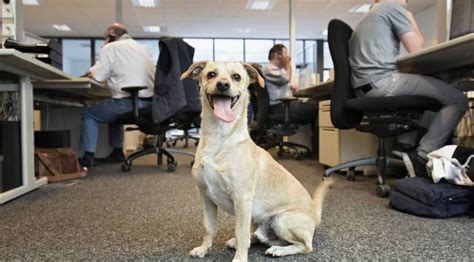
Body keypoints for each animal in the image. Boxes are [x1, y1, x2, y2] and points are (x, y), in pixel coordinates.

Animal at [181, 61, 334, 262]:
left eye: (236, 77)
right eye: (211, 74)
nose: (223, 85)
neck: (219, 137)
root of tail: (314, 215)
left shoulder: (242, 198)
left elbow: (241, 232)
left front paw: (239, 258)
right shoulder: (206, 197)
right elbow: (209, 227)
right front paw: (203, 249)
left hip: (281, 220)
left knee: (305, 246)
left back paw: (278, 250)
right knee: (256, 236)